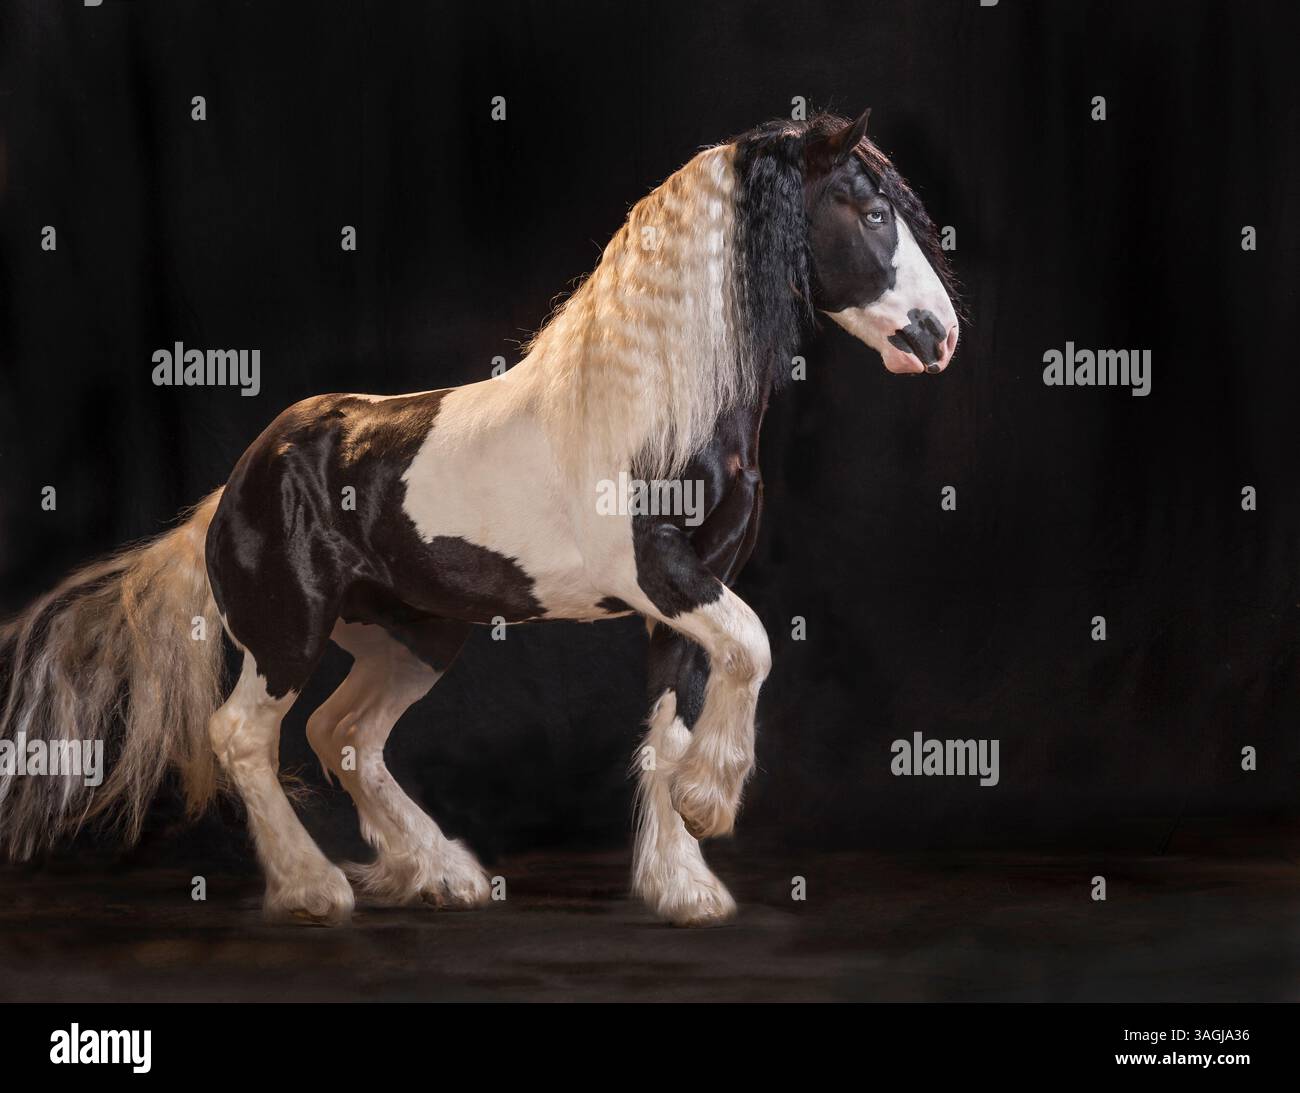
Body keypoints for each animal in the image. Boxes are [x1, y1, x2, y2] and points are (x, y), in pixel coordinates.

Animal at [0, 109, 959, 927]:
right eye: (874, 211)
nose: (937, 336)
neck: (651, 407)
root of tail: (234, 486)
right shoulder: (654, 569)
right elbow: (755, 645)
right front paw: (710, 800)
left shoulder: (693, 588)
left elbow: (674, 716)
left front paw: (682, 882)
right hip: (287, 631)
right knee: (245, 734)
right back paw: (314, 888)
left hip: (415, 634)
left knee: (345, 734)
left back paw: (439, 874)